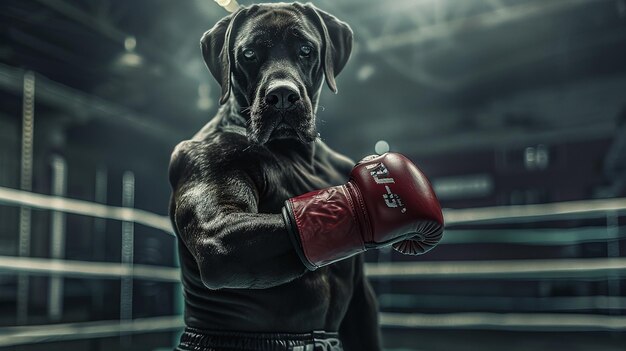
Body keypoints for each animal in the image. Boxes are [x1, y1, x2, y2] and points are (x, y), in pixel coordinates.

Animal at [168, 3, 378, 351]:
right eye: (249, 53)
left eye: (305, 49)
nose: (281, 95)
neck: (297, 153)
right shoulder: (204, 159)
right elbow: (220, 235)